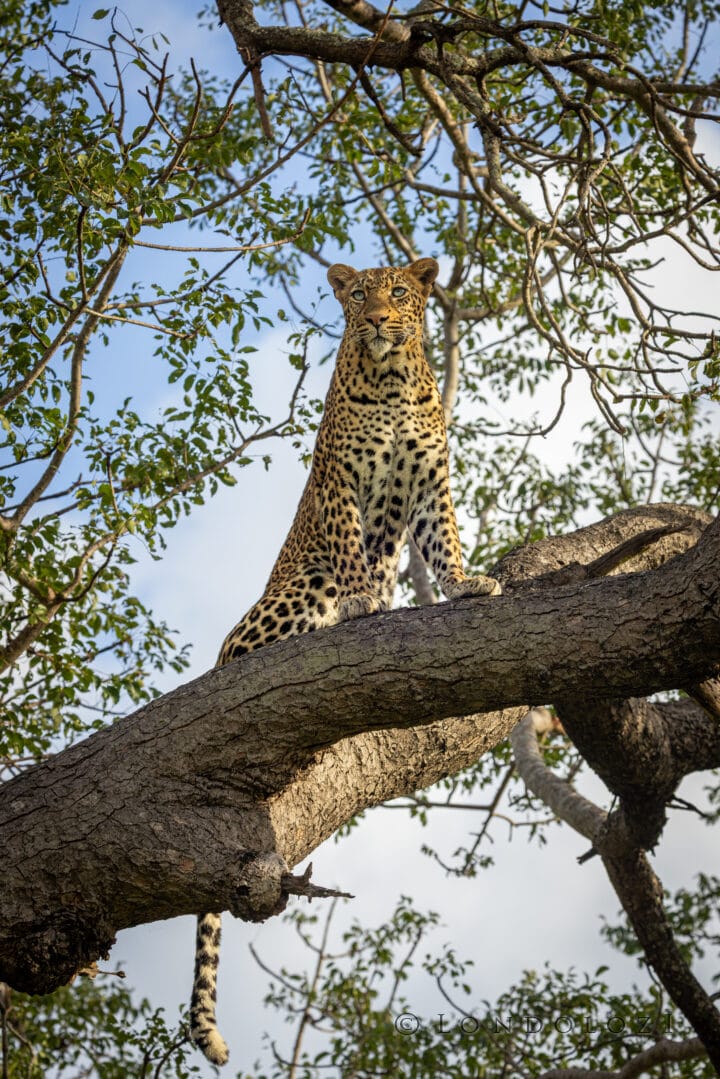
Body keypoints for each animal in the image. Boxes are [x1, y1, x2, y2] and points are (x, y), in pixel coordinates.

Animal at [189, 256, 501, 1065]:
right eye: (359, 295)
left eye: (400, 294)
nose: (380, 322)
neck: (389, 381)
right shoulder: (341, 484)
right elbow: (354, 550)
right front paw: (368, 602)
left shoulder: (428, 479)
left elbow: (443, 538)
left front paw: (465, 581)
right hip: (295, 589)